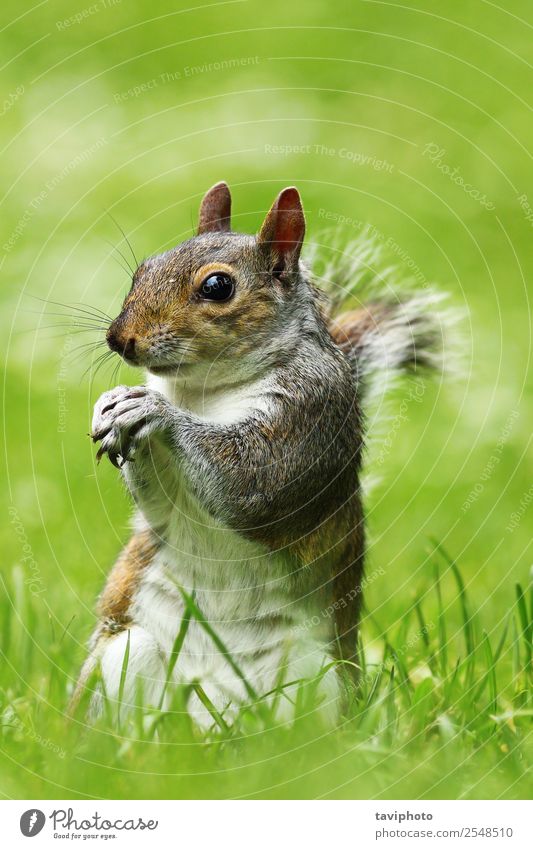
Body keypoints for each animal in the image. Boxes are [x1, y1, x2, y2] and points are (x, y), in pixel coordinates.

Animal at [70, 182, 450, 724]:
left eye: (217, 287)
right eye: (142, 269)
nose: (118, 339)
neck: (204, 391)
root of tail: (212, 721)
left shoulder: (311, 416)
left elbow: (252, 484)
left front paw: (153, 410)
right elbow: (160, 506)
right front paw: (111, 404)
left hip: (318, 679)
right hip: (125, 655)